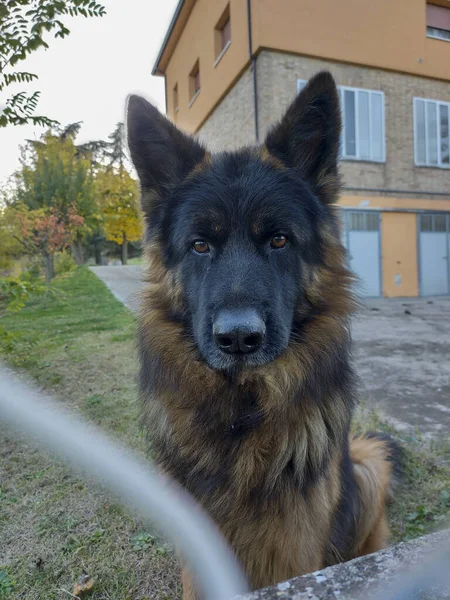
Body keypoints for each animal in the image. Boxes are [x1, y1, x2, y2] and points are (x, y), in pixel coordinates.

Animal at [126, 71, 400, 600]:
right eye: (200, 245)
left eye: (279, 239)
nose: (238, 339)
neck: (242, 414)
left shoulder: (293, 555)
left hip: (366, 467)